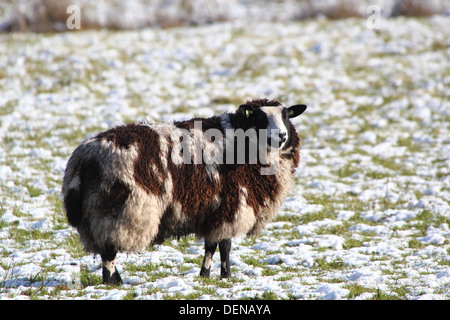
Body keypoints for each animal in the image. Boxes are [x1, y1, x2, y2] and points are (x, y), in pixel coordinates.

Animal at [61, 99, 308, 284]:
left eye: (286, 115)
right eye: (258, 117)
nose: (280, 136)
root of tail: (85, 157)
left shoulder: (215, 209)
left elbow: (214, 246)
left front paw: (210, 275)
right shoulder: (232, 205)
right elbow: (222, 246)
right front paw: (221, 275)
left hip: (94, 214)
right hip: (119, 210)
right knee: (108, 250)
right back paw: (114, 282)